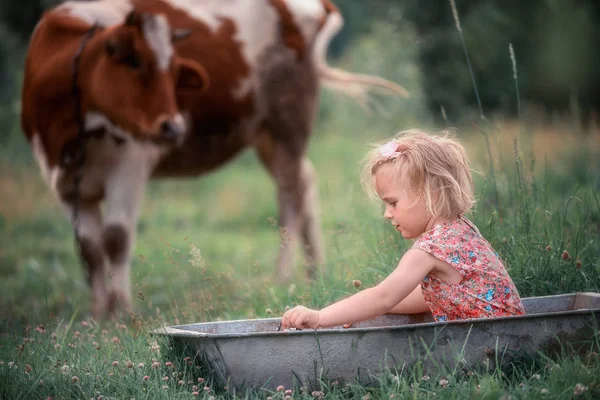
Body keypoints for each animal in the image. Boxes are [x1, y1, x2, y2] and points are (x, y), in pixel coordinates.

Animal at [22, 0, 408, 318]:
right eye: (134, 62)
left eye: (175, 71)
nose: (174, 126)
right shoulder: (62, 180)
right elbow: (88, 248)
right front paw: (98, 314)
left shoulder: (130, 162)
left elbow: (115, 238)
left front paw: (121, 312)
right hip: (264, 134)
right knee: (306, 182)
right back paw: (313, 272)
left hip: (288, 120)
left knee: (291, 195)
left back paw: (283, 277)